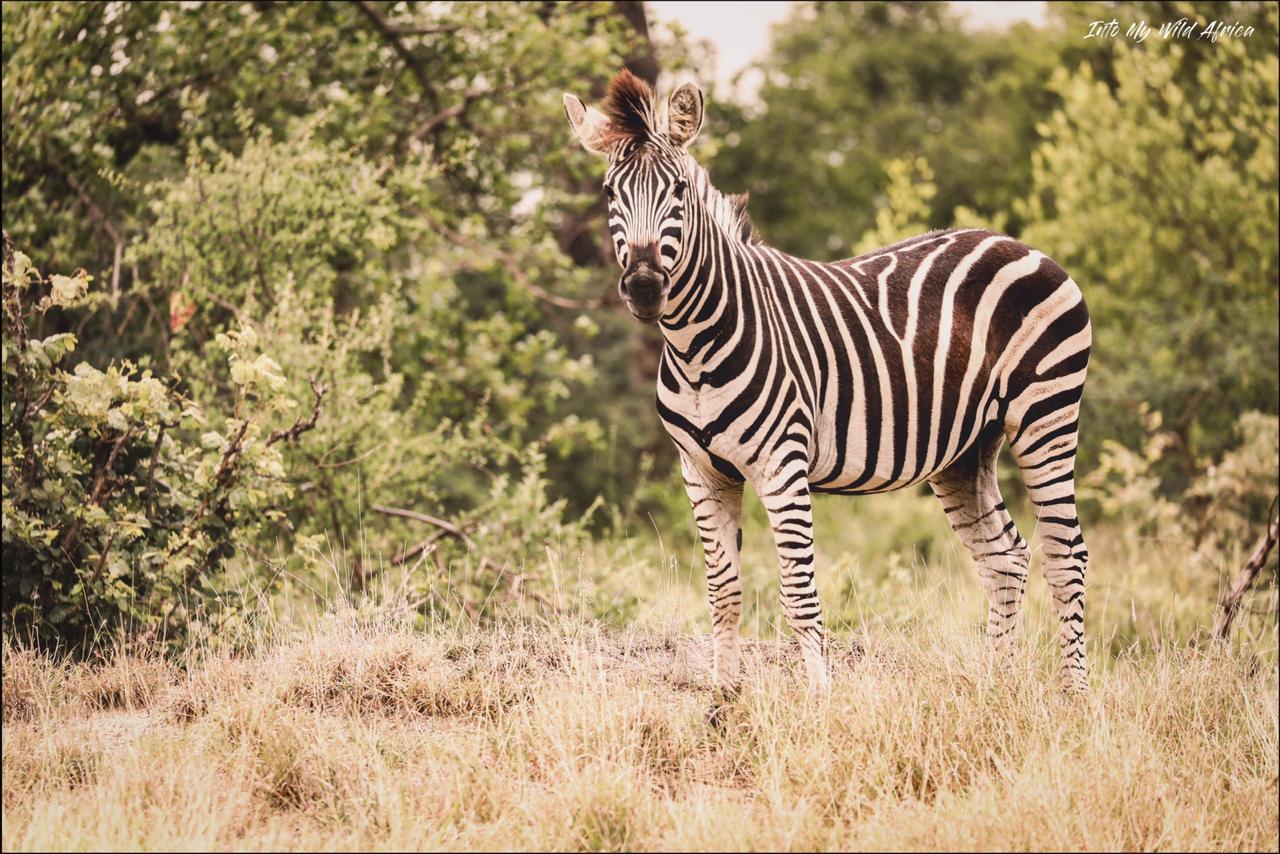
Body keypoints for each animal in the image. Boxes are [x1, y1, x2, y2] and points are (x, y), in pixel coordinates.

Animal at [563, 70, 1091, 695]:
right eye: (610, 195)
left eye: (679, 192)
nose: (645, 287)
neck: (694, 348)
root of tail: (1016, 243)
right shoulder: (701, 472)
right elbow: (723, 592)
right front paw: (723, 698)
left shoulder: (781, 465)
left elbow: (798, 594)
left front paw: (819, 699)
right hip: (965, 448)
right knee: (1004, 556)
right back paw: (997, 688)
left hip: (1045, 416)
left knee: (1066, 554)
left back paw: (1074, 696)